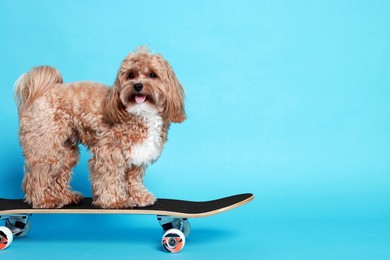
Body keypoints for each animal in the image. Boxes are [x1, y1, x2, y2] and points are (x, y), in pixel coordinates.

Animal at [14, 46, 185, 209]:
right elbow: (109, 177)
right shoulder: (109, 152)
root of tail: (42, 92)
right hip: (46, 147)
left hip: (66, 151)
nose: (137, 86)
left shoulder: (137, 154)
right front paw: (115, 201)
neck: (140, 113)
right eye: (130, 75)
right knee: (38, 176)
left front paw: (139, 196)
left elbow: (133, 178)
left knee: (59, 174)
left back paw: (65, 196)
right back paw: (44, 200)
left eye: (152, 75)